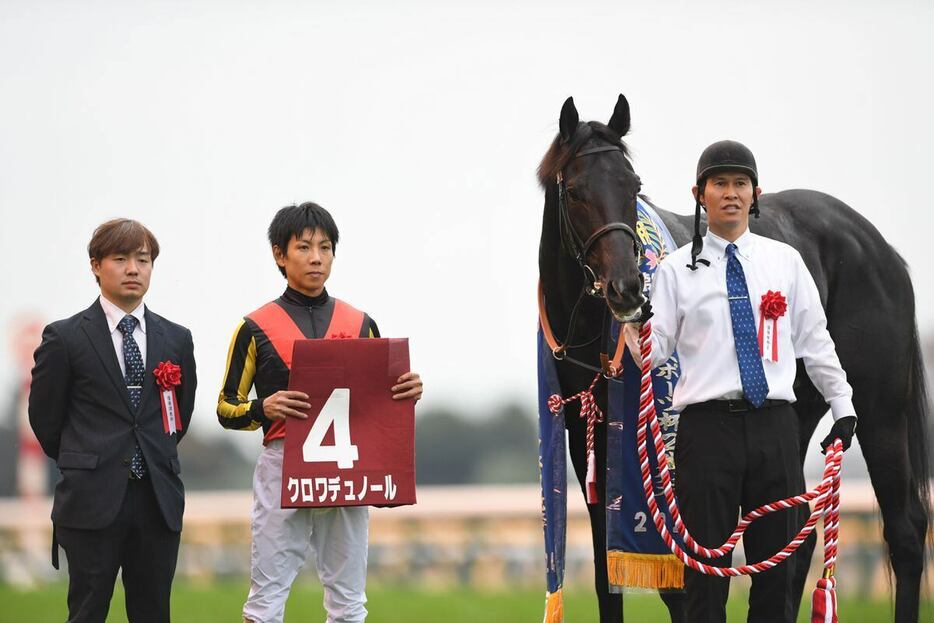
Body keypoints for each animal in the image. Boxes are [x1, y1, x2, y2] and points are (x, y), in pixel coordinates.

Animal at [536, 94, 932, 623]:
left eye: (633, 186)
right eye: (577, 192)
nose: (627, 289)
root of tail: (879, 248)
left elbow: (687, 575)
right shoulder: (586, 438)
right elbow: (607, 576)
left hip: (881, 412)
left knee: (904, 529)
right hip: (796, 416)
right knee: (793, 534)